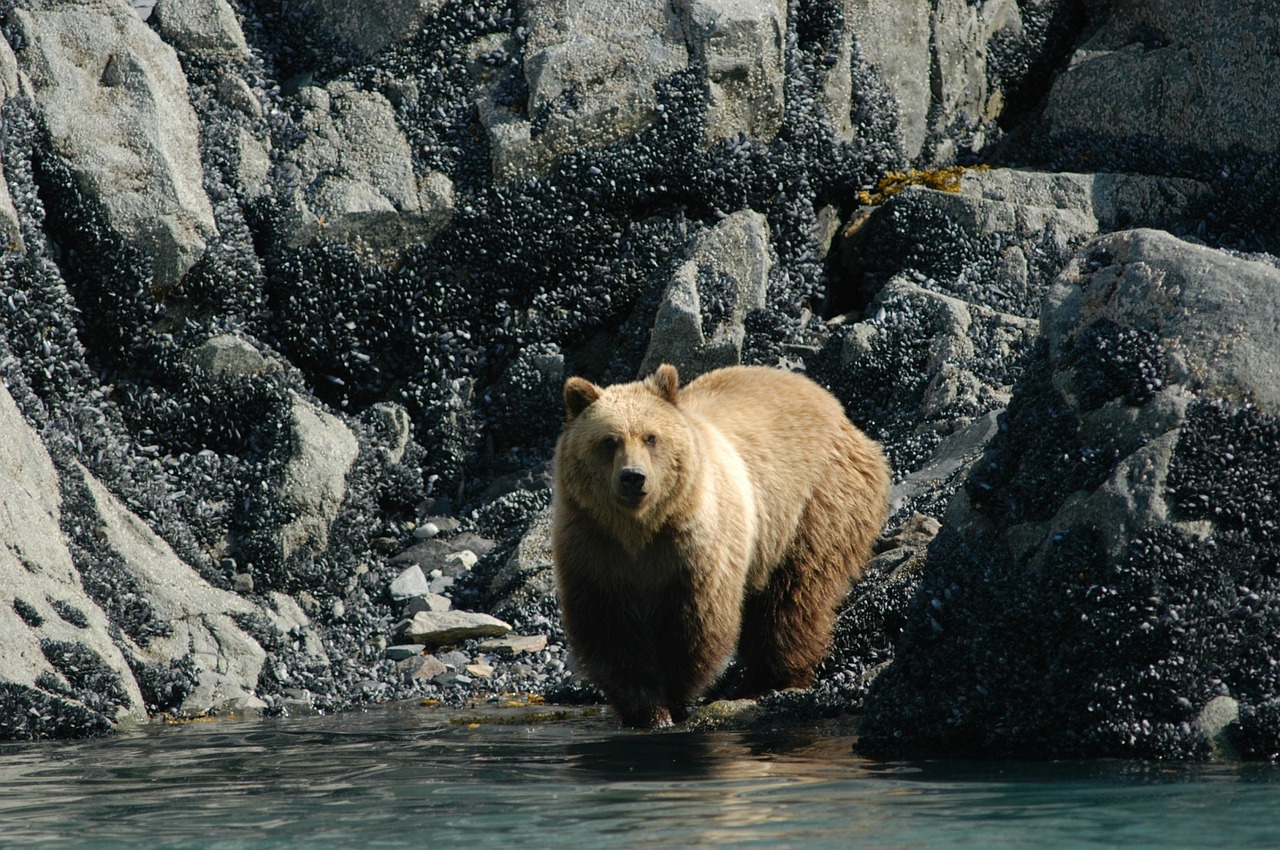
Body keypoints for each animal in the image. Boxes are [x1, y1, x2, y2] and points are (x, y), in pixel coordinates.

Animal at [550, 360, 890, 727]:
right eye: (609, 441)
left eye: (650, 437)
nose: (633, 477)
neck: (640, 530)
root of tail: (831, 402)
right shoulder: (594, 546)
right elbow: (608, 628)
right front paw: (645, 710)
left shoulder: (695, 547)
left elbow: (695, 624)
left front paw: (674, 700)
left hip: (813, 504)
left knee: (792, 598)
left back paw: (771, 679)